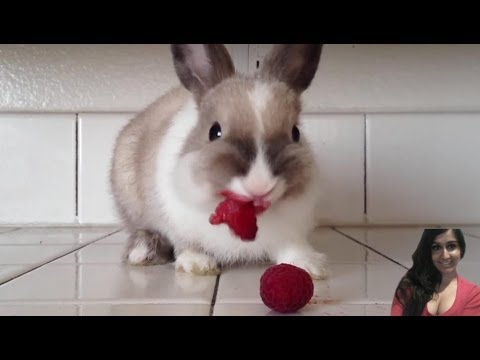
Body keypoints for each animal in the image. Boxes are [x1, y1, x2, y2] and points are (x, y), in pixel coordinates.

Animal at [110, 44, 328, 278]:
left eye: (295, 133)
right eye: (214, 131)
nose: (260, 185)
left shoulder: (291, 228)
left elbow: (292, 246)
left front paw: (310, 265)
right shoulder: (177, 220)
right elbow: (187, 244)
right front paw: (197, 264)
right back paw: (143, 252)